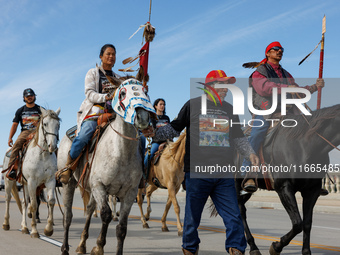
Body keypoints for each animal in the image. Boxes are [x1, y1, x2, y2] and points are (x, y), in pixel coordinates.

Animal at [2, 107, 60, 237]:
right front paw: (34, 230)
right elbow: (33, 205)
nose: (52, 146)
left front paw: (48, 229)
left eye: (58, 125)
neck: (42, 155)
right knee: (8, 198)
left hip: (24, 184)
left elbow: (51, 202)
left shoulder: (50, 181)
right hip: (9, 181)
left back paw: (24, 227)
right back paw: (6, 224)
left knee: (24, 202)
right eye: (45, 124)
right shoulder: (32, 182)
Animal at [57, 78, 155, 255]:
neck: (121, 152)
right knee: (68, 215)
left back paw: (82, 245)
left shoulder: (129, 192)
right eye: (122, 93)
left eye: (146, 91)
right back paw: (65, 247)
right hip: (69, 183)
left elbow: (121, 227)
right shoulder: (99, 186)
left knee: (89, 209)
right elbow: (106, 214)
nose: (143, 117)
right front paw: (98, 247)